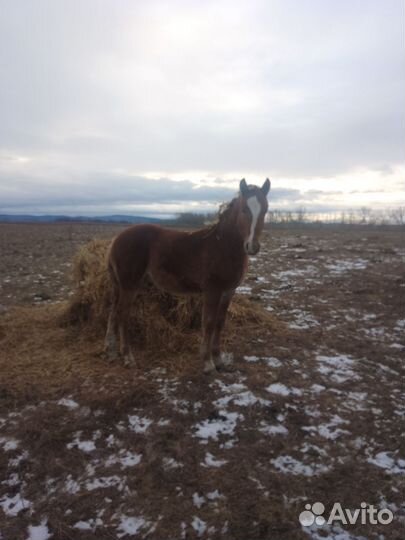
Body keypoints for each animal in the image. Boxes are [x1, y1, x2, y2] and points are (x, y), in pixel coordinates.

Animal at [104, 179, 270, 374]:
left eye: (265, 210)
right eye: (244, 209)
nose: (252, 247)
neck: (222, 245)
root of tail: (117, 238)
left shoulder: (229, 291)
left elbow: (220, 323)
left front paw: (219, 360)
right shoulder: (212, 290)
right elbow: (208, 323)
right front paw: (208, 363)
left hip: (119, 285)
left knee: (113, 312)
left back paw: (110, 351)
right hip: (129, 285)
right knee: (122, 314)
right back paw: (128, 357)